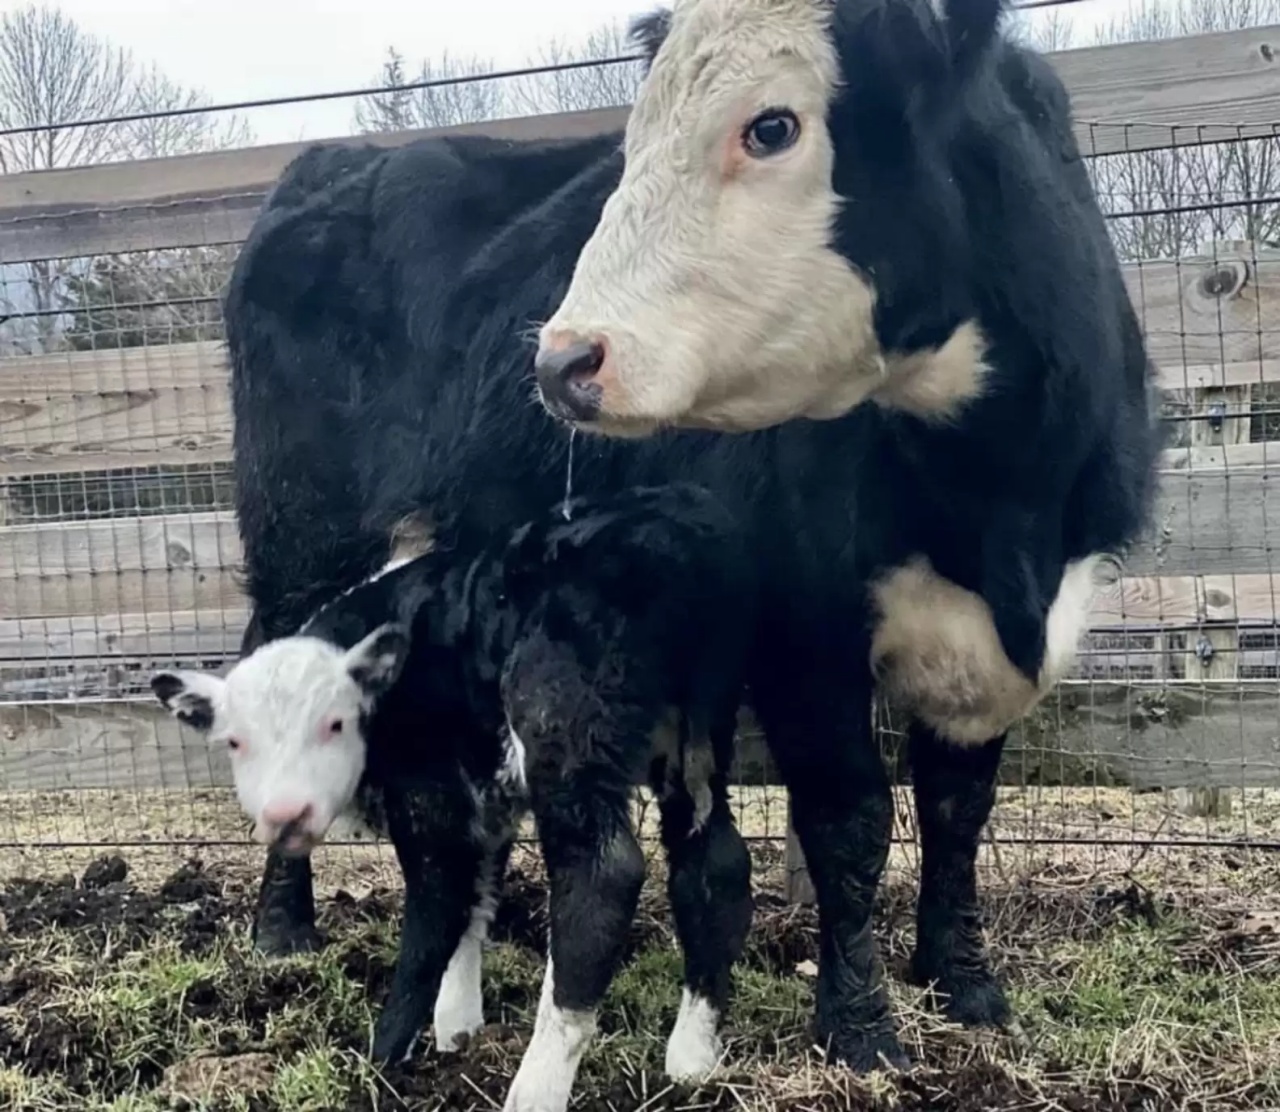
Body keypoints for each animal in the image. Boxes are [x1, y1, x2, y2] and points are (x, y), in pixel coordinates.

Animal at [153, 481, 752, 1105]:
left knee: (601, 875)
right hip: (699, 733)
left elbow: (435, 912)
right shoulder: (483, 793)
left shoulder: (428, 793)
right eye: (235, 741)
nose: (285, 813)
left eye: (336, 723)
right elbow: (474, 901)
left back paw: (535, 1090)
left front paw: (383, 1058)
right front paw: (458, 1028)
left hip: (563, 728)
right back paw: (692, 1059)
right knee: (715, 861)